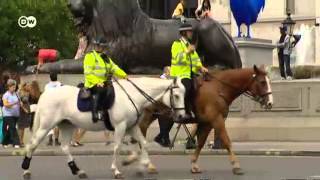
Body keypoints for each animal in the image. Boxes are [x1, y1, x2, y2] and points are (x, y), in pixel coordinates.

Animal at [21, 77, 186, 179]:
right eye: (176, 96)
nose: (182, 116)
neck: (131, 96)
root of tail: (46, 93)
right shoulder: (120, 127)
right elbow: (117, 147)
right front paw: (116, 170)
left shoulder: (131, 127)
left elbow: (143, 143)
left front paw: (142, 165)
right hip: (46, 126)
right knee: (32, 145)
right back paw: (26, 170)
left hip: (67, 125)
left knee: (65, 148)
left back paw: (77, 170)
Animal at [138, 65, 272, 175]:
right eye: (262, 82)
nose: (270, 103)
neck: (219, 88)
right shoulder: (217, 120)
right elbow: (227, 141)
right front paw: (236, 165)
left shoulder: (207, 123)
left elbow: (201, 143)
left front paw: (194, 165)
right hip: (148, 115)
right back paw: (148, 163)